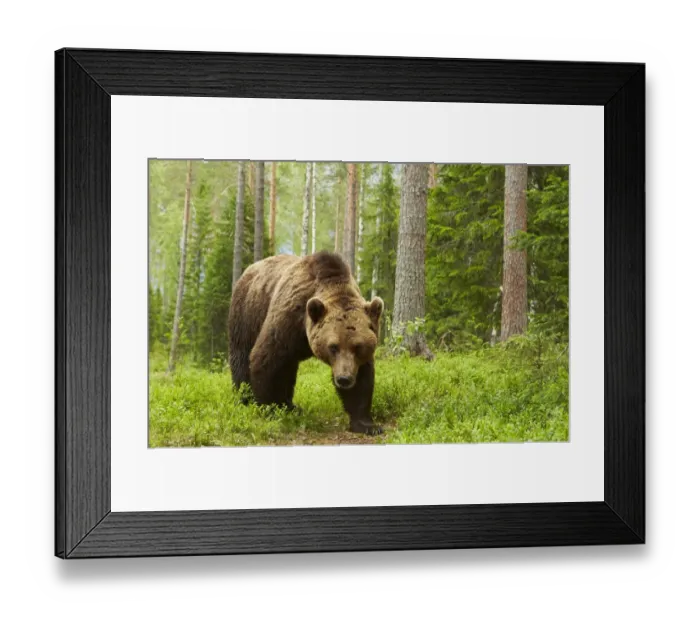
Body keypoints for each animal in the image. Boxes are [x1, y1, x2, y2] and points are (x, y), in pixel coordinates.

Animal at [228, 251, 384, 435]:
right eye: (333, 347)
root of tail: (249, 269)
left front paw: (367, 425)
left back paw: (290, 406)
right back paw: (246, 399)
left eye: (358, 347)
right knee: (242, 355)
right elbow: (267, 358)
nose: (344, 379)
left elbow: (362, 380)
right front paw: (268, 408)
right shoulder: (289, 318)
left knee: (288, 368)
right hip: (247, 312)